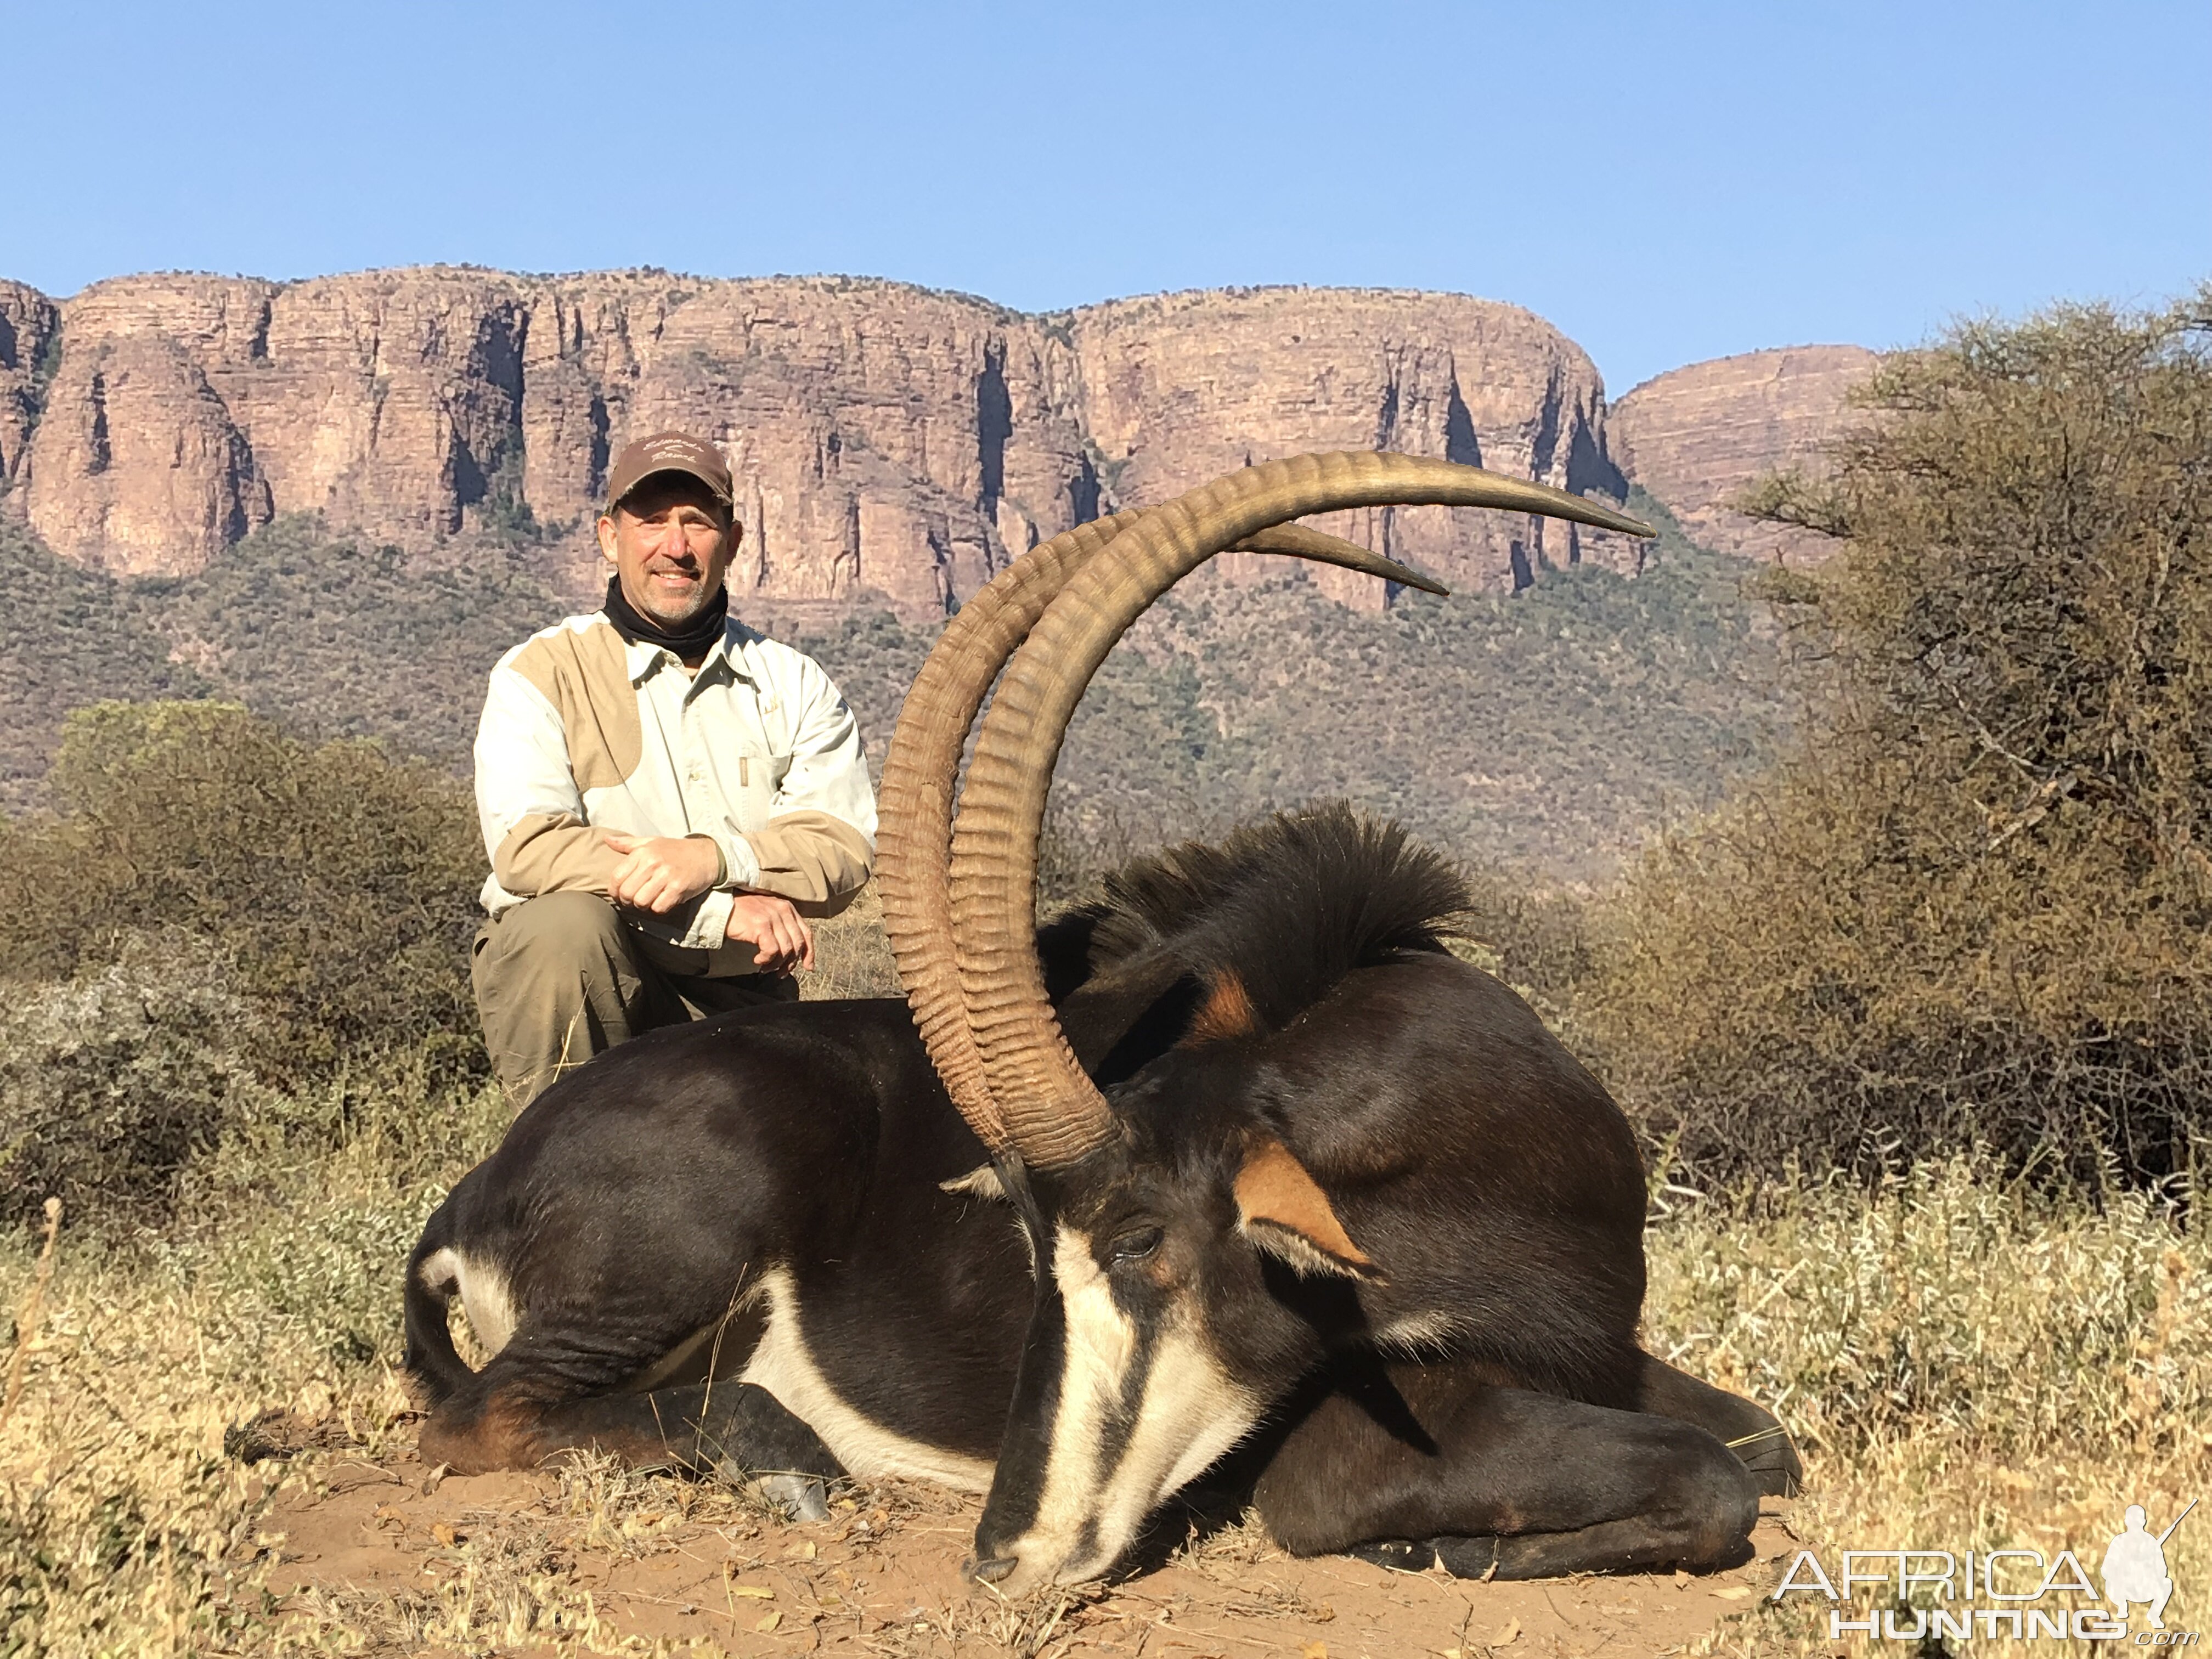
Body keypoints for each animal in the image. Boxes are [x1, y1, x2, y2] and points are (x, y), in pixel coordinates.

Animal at [407, 455, 1805, 1601]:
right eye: (1037, 1254)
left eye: (1139, 1243)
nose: (1004, 1557)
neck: (1482, 1153)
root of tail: (479, 1186)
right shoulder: (1335, 1449)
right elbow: (1712, 1477)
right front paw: (1443, 1546)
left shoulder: (1595, 1351)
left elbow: (1764, 1447)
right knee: (473, 1420)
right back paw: (780, 1452)